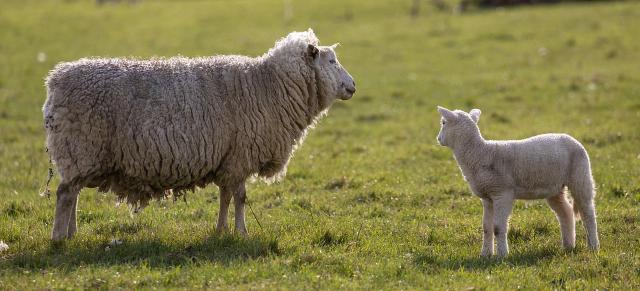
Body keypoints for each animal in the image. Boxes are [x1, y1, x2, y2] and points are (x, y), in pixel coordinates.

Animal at [43, 29, 358, 242]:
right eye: (331, 61)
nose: (353, 86)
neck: (268, 85)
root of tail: (55, 80)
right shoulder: (241, 156)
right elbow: (240, 197)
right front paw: (242, 232)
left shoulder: (228, 159)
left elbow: (225, 197)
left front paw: (221, 230)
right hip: (80, 147)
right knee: (65, 194)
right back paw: (59, 238)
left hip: (80, 155)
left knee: (73, 194)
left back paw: (72, 233)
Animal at [436, 107, 600, 258]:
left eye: (443, 122)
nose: (438, 139)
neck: (480, 153)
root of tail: (572, 138)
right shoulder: (488, 197)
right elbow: (486, 228)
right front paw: (485, 255)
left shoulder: (502, 193)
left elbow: (498, 227)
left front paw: (502, 255)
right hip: (555, 187)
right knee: (565, 212)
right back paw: (568, 246)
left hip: (580, 176)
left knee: (588, 213)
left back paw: (593, 246)